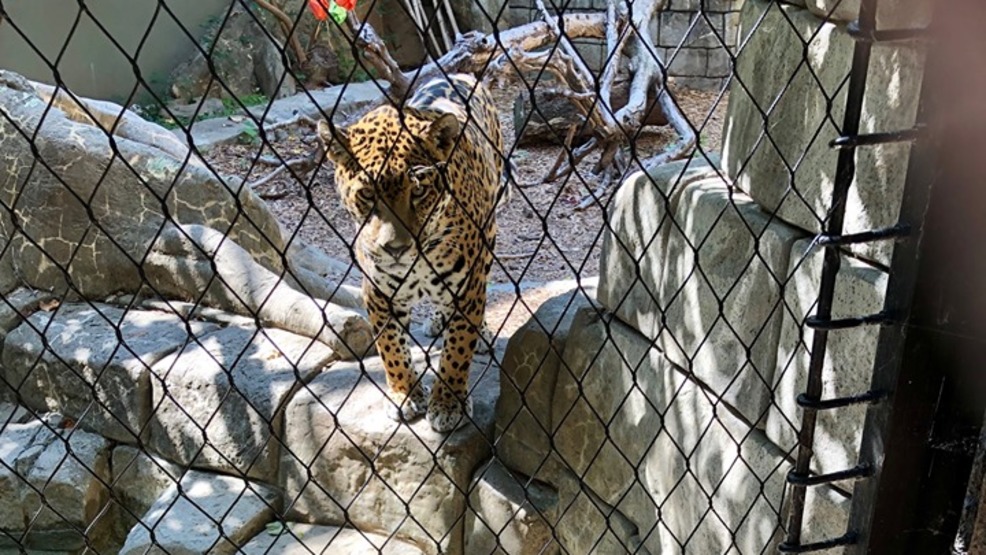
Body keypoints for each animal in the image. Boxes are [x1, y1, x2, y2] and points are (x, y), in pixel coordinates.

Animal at [317, 73, 504, 433]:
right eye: (367, 194)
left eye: (418, 192)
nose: (396, 248)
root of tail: (461, 75)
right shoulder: (377, 292)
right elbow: (390, 345)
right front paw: (404, 393)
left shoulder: (469, 286)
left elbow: (458, 348)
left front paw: (447, 404)